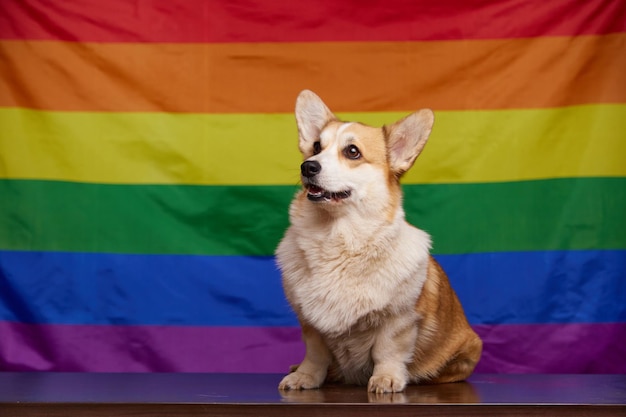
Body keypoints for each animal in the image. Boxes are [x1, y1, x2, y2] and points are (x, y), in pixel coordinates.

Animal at [276, 89, 480, 392]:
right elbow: (315, 354)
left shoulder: (398, 320)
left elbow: (387, 351)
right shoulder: (311, 323)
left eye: (352, 151)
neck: (337, 237)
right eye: (315, 147)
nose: (307, 166)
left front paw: (386, 378)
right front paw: (305, 376)